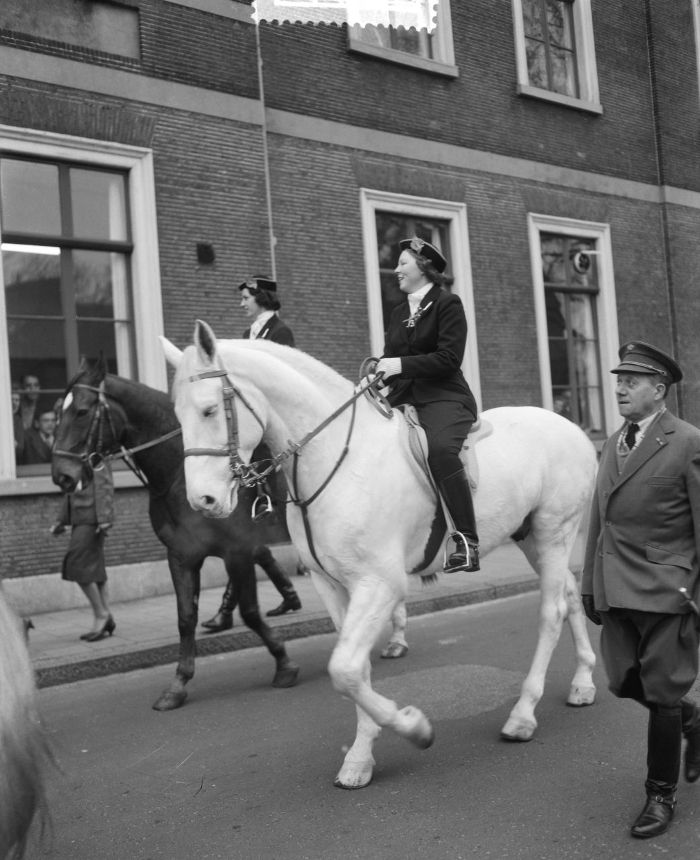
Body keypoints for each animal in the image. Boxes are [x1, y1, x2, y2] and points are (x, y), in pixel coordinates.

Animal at [50, 352, 298, 708]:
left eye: (82, 411)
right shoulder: (182, 555)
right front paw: (178, 684)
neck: (176, 474)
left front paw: (283, 662)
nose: (62, 475)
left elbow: (250, 612)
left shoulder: (236, 550)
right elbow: (185, 617)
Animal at [163, 320, 596, 788]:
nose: (203, 501)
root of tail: (574, 428)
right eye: (178, 416)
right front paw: (360, 758)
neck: (336, 458)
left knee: (552, 611)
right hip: (532, 537)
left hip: (554, 531)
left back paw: (522, 715)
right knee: (569, 595)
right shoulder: (333, 585)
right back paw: (583, 681)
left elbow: (344, 669)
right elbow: (355, 669)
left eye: (209, 410)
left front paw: (415, 728)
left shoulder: (380, 584)